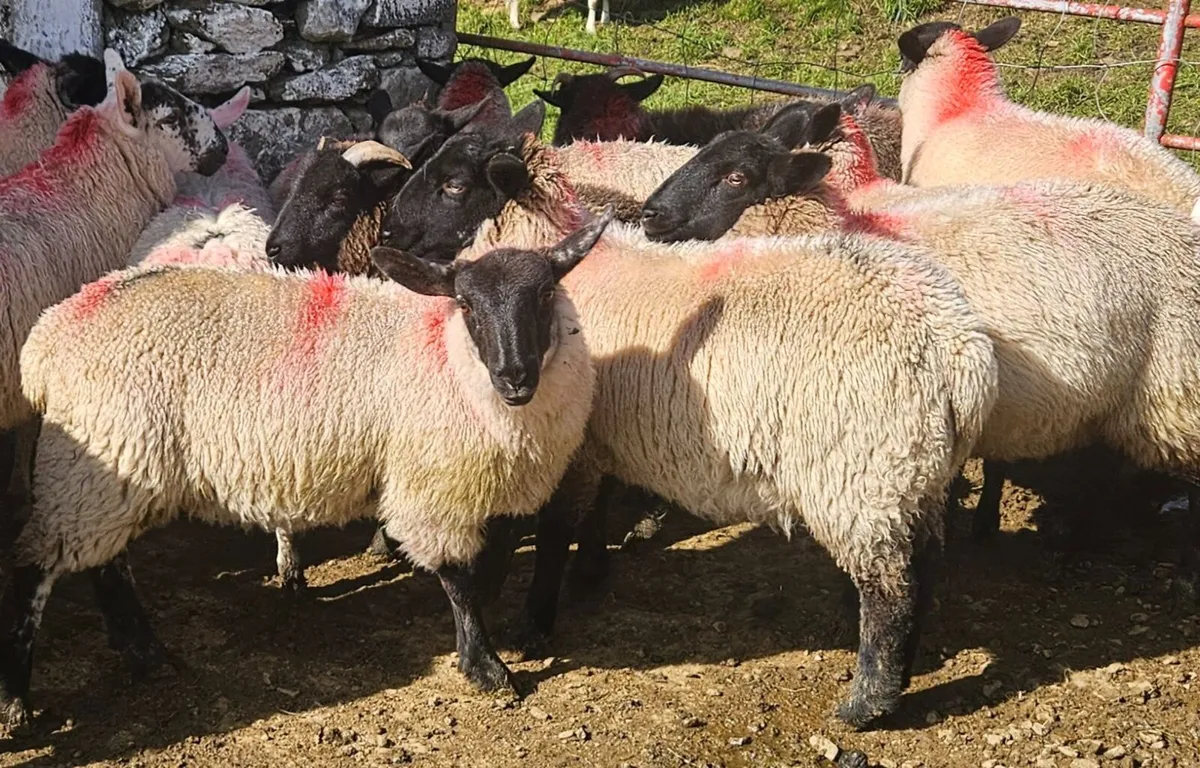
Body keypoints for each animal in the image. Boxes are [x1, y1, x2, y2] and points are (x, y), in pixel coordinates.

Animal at [0, 206, 603, 727]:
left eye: (544, 293)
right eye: (468, 304)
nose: (514, 377)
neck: (446, 351)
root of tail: (52, 332)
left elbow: (489, 564)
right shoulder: (433, 488)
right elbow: (459, 581)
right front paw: (487, 668)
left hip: (113, 473)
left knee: (105, 564)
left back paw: (146, 653)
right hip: (93, 460)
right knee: (36, 568)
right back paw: (18, 699)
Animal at [382, 117, 999, 729]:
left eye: (455, 184)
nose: (386, 231)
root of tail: (960, 354)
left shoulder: (571, 440)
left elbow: (553, 529)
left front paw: (533, 622)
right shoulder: (602, 434)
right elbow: (595, 511)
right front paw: (591, 572)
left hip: (862, 477)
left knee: (891, 589)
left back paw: (867, 703)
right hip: (916, 474)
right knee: (926, 566)